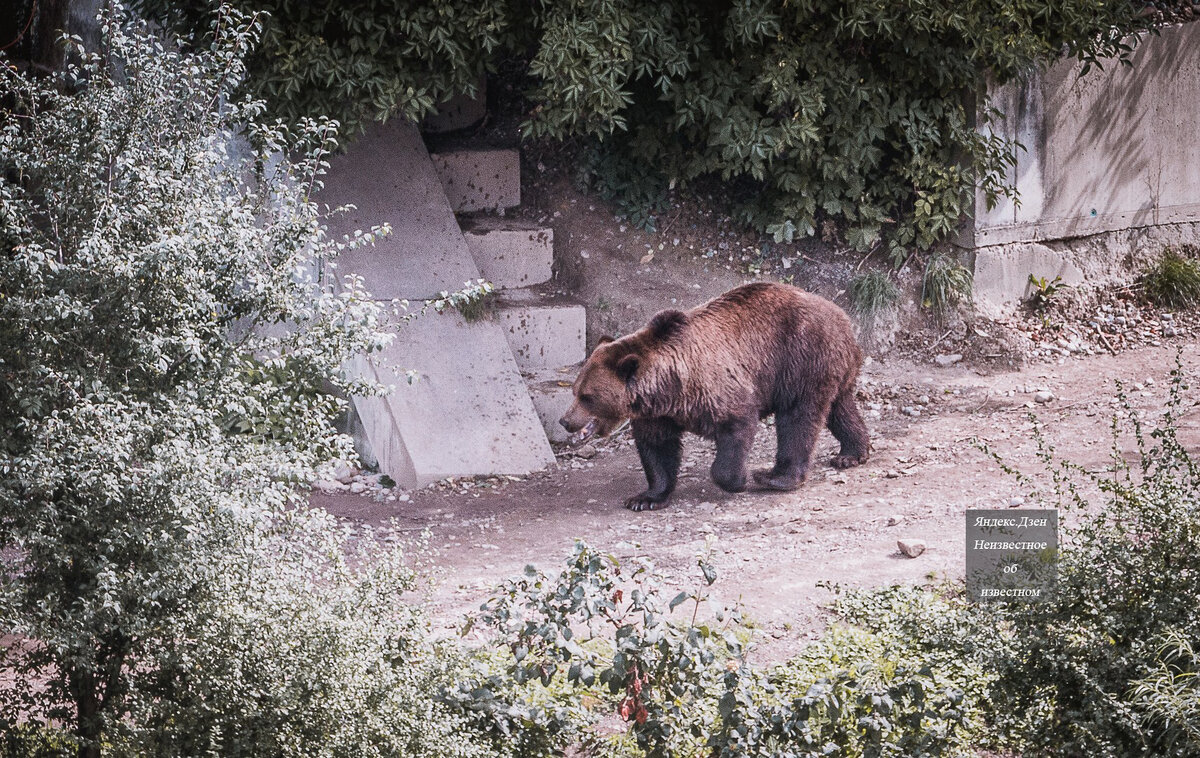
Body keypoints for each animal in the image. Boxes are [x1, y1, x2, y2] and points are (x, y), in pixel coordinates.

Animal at [556, 281, 868, 513]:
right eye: (574, 390)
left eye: (587, 396)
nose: (565, 421)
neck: (669, 388)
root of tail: (843, 317)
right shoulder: (656, 413)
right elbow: (657, 448)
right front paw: (644, 498)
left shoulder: (716, 388)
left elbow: (736, 427)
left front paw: (739, 480)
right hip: (829, 369)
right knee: (840, 408)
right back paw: (852, 453)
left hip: (801, 359)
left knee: (798, 418)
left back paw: (776, 477)